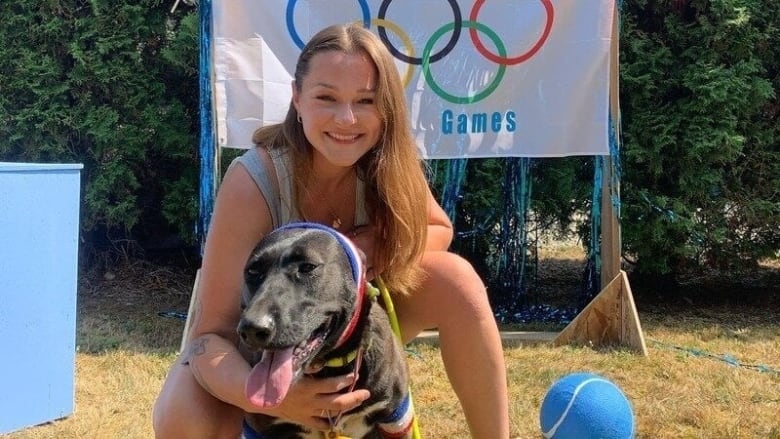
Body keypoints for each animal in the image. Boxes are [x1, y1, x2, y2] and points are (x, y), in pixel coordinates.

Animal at [236, 223, 414, 439]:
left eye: (307, 267)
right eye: (253, 271)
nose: (252, 329)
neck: (328, 366)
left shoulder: (395, 421)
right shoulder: (260, 429)